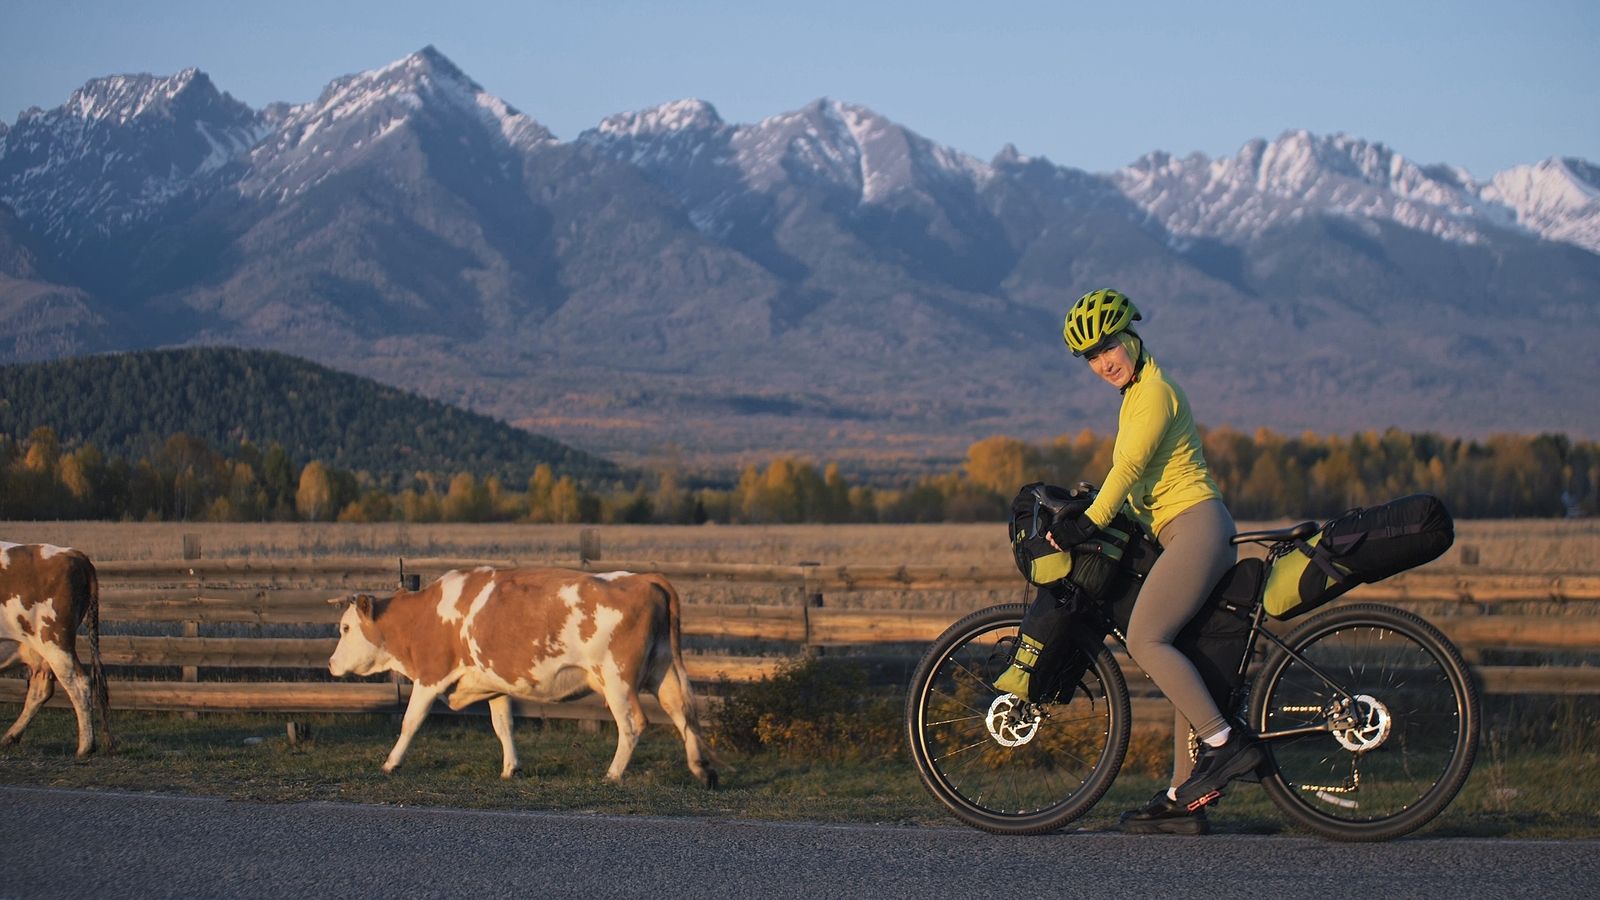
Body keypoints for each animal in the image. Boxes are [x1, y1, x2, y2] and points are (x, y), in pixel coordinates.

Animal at [1, 538, 112, 755]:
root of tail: (73, 553)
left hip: (55, 642)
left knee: (79, 683)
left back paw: (85, 747)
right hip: (41, 650)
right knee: (40, 690)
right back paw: (9, 737)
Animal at [328, 566, 716, 784]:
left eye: (345, 628)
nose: (331, 664)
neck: (423, 615)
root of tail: (644, 578)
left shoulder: (430, 675)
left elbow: (410, 722)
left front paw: (390, 763)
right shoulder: (494, 684)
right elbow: (504, 726)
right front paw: (510, 768)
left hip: (617, 680)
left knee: (633, 723)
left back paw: (613, 774)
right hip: (662, 670)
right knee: (683, 713)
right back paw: (701, 770)